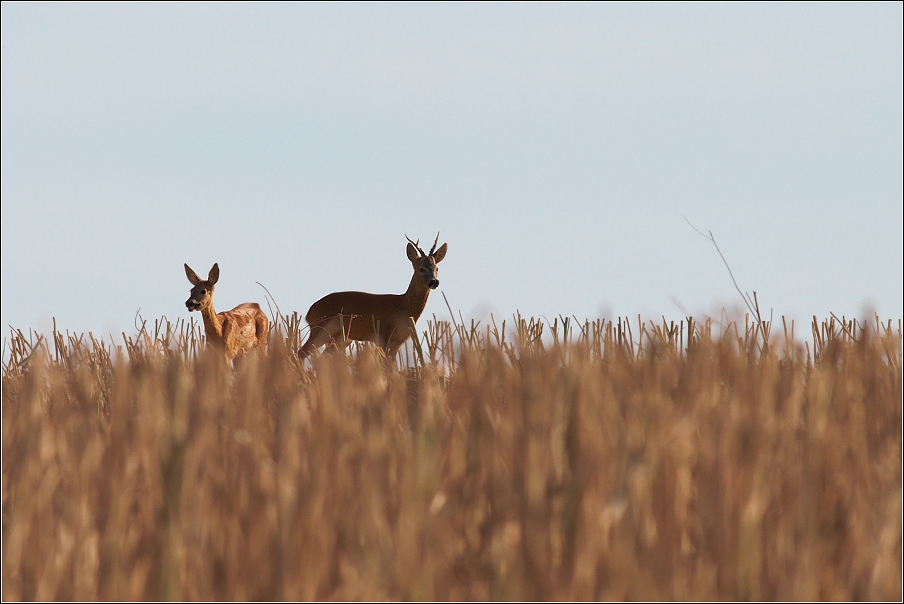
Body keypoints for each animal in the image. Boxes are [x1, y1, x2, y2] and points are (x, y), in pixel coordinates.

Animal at [300, 234, 448, 360]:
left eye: (437, 268)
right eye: (421, 269)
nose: (434, 282)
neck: (403, 307)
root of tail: (309, 313)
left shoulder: (399, 342)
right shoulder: (383, 337)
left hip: (340, 338)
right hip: (320, 329)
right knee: (300, 353)